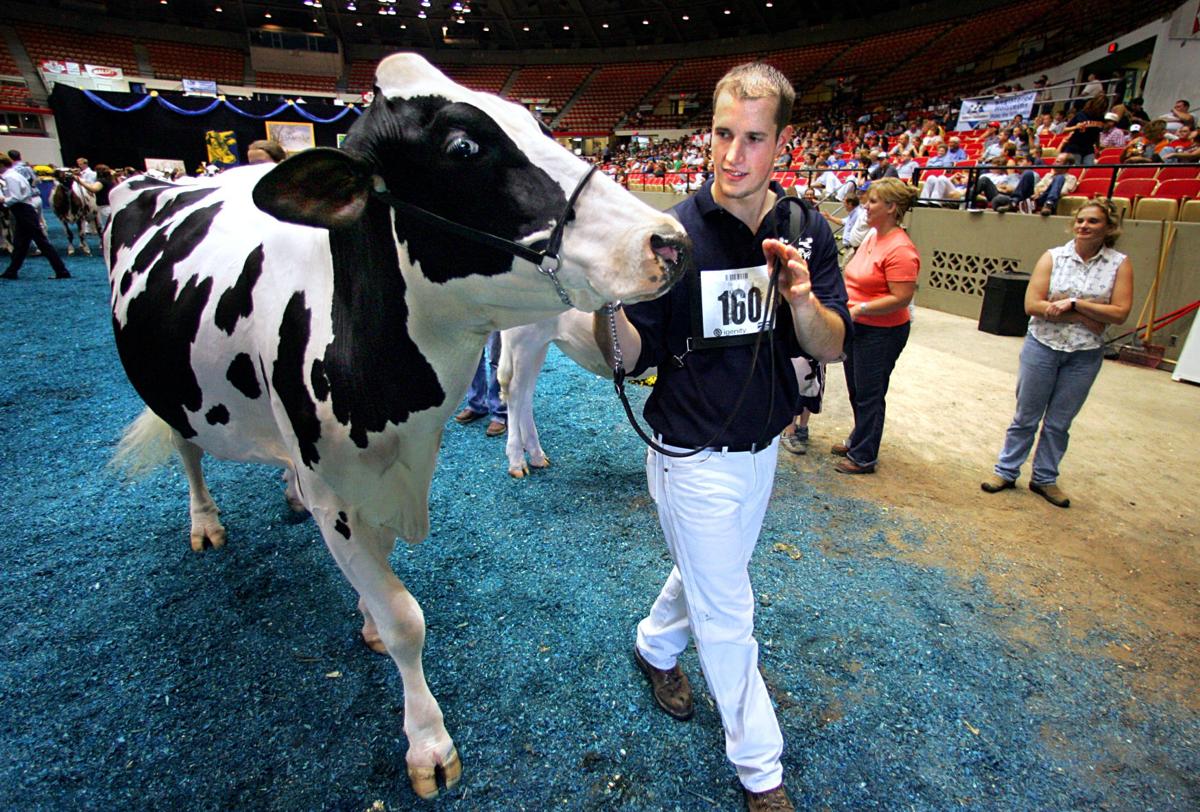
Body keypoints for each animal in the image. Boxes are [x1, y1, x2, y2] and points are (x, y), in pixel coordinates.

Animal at [108, 53, 691, 801]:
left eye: (537, 122)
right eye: (463, 147)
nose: (668, 242)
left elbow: (378, 585)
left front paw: (367, 621)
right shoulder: (338, 492)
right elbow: (403, 614)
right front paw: (428, 744)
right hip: (167, 383)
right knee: (187, 449)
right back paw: (205, 521)